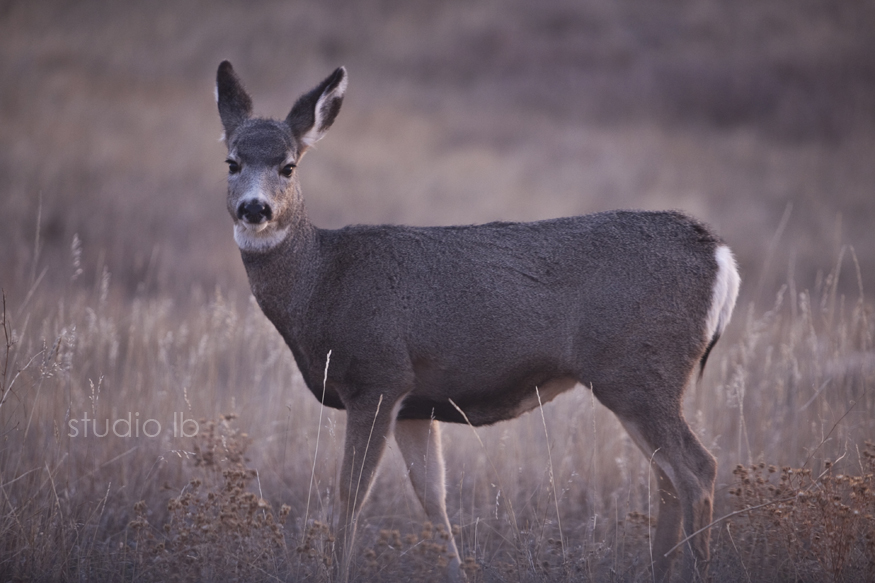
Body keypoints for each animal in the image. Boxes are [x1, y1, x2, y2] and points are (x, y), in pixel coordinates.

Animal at [217, 60, 740, 583]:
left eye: (289, 165)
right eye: (231, 162)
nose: (255, 208)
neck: (321, 282)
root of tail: (721, 256)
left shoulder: (377, 376)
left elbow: (350, 494)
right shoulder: (415, 402)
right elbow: (433, 499)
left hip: (640, 370)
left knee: (698, 471)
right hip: (638, 380)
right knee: (667, 478)